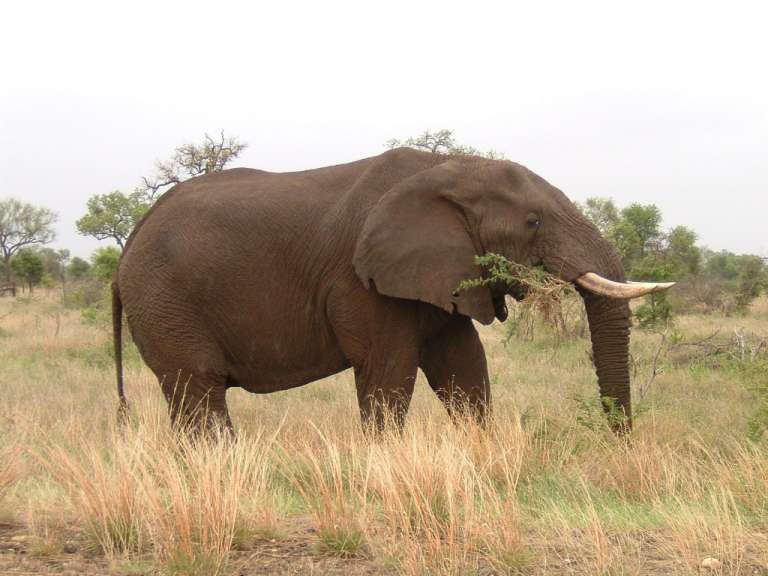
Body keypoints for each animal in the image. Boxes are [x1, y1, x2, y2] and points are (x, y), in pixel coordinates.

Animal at [112, 148, 672, 434]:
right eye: (533, 222)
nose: (617, 443)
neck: (447, 169)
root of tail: (128, 248)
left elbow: (463, 366)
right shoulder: (362, 281)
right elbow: (389, 371)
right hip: (165, 300)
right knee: (198, 391)